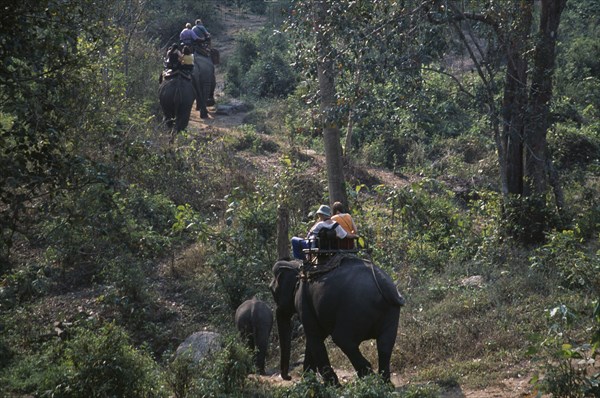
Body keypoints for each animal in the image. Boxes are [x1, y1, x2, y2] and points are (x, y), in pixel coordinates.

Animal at [270, 258, 404, 386]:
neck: (296, 265)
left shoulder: (303, 301)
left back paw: (371, 383)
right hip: (390, 312)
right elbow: (317, 337)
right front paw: (309, 382)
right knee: (385, 345)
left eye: (271, 290)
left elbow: (314, 336)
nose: (288, 377)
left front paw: (332, 386)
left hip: (354, 310)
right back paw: (386, 385)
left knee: (342, 340)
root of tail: (383, 283)